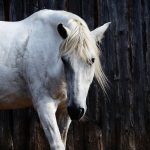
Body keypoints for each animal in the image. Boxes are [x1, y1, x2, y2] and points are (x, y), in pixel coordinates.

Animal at [0, 9, 110, 150]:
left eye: (92, 60)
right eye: (64, 59)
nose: (76, 111)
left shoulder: (64, 110)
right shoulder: (44, 106)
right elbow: (57, 145)